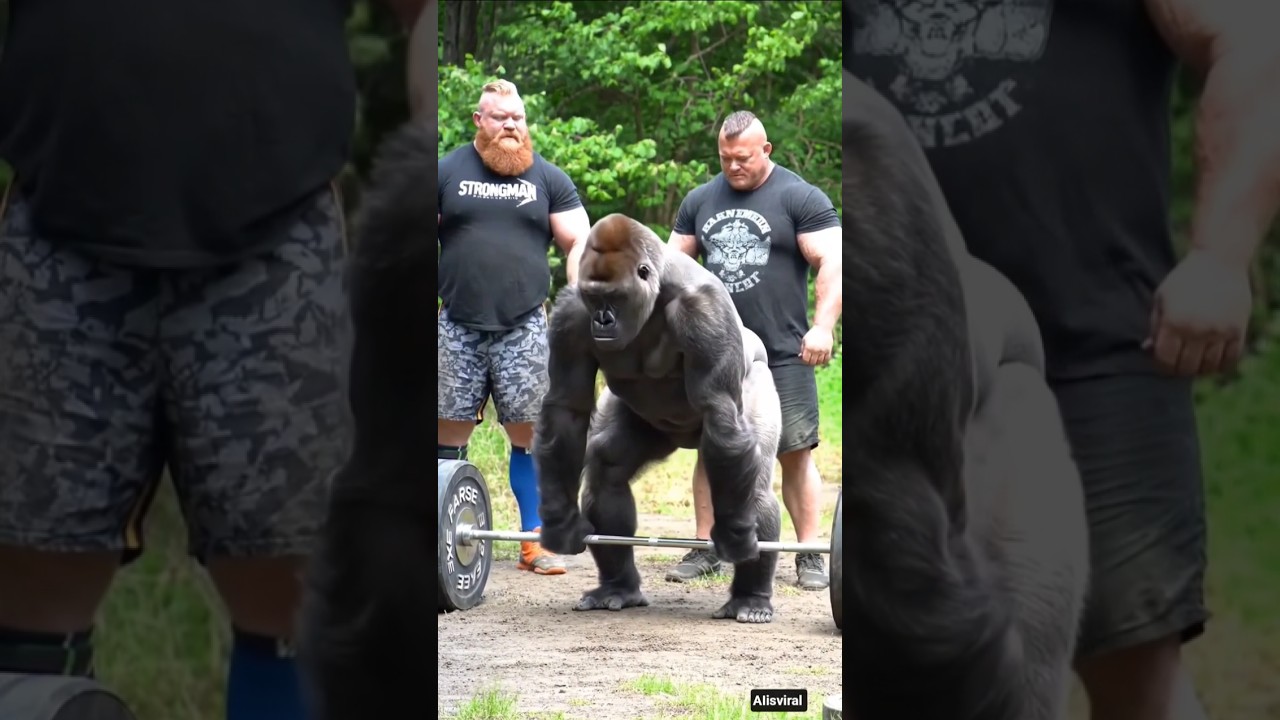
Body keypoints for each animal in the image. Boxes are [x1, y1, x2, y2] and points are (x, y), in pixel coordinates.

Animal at [533, 213, 785, 624]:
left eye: (615, 297)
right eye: (594, 297)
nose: (602, 320)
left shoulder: (705, 313)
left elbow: (721, 413)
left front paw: (734, 536)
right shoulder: (570, 313)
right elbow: (566, 409)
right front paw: (559, 522)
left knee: (755, 486)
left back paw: (751, 597)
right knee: (607, 469)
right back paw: (618, 586)